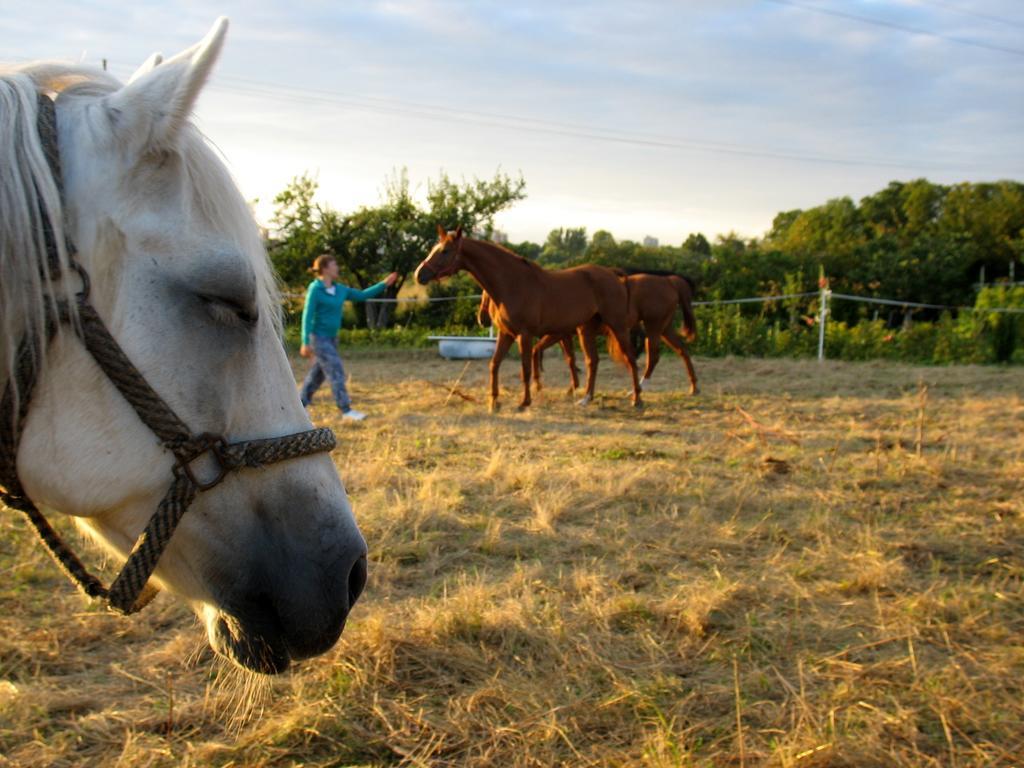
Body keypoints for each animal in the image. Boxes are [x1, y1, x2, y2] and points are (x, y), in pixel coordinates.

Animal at [415, 227, 638, 411]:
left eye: (445, 251)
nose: (419, 274)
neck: (513, 283)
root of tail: (613, 274)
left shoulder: (525, 334)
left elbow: (525, 368)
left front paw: (524, 402)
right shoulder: (506, 334)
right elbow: (494, 364)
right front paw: (493, 401)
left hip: (617, 326)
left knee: (630, 358)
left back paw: (637, 400)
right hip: (586, 330)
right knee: (593, 361)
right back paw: (586, 398)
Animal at [536, 274, 696, 397]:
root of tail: (668, 281)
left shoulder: (558, 334)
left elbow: (540, 350)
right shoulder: (565, 335)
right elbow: (569, 358)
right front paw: (573, 387)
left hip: (653, 328)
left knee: (653, 357)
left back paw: (637, 389)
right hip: (664, 329)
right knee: (682, 351)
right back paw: (694, 387)